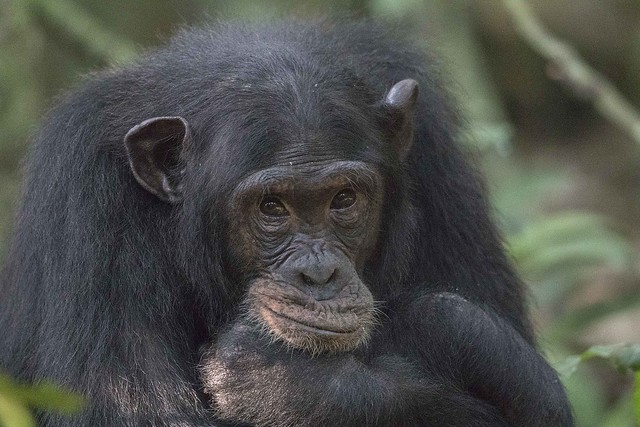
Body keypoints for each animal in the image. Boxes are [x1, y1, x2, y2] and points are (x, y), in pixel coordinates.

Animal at [0, 20, 568, 427]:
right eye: (272, 208)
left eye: (344, 199)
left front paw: (292, 386)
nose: (318, 274)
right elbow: (135, 412)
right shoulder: (86, 201)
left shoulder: (438, 162)